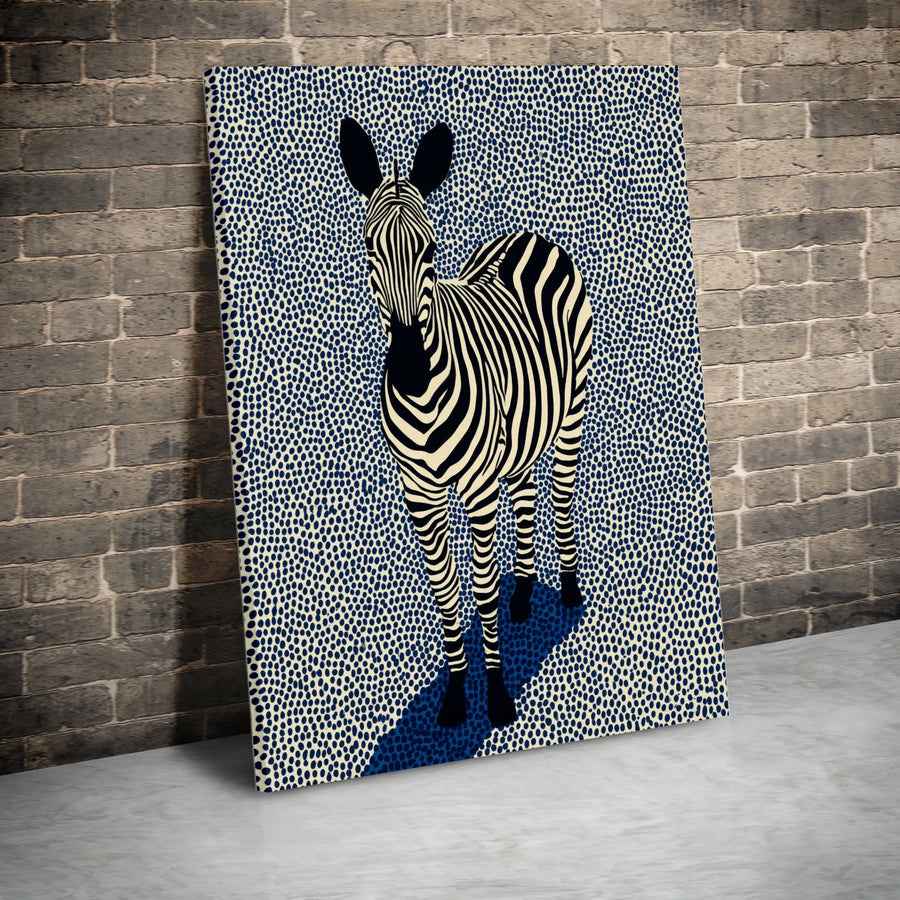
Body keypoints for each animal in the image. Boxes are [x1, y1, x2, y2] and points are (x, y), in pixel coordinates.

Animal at [339, 118, 593, 729]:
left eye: (430, 249)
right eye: (369, 249)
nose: (409, 368)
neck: (427, 400)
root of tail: (528, 237)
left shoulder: (476, 493)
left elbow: (478, 591)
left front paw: (497, 695)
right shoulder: (420, 499)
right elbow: (447, 598)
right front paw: (455, 696)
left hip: (571, 409)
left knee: (561, 495)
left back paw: (568, 592)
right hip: (521, 432)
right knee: (523, 493)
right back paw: (522, 594)